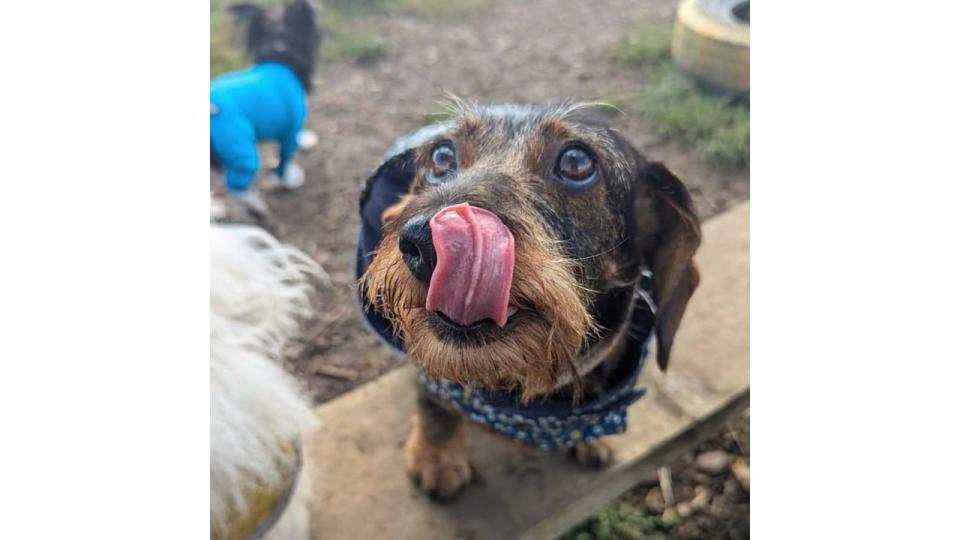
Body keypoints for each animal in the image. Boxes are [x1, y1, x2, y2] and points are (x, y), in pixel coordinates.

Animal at [356, 101, 700, 498]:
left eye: (577, 163)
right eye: (441, 156)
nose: (427, 245)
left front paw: (592, 440)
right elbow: (435, 408)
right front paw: (437, 461)